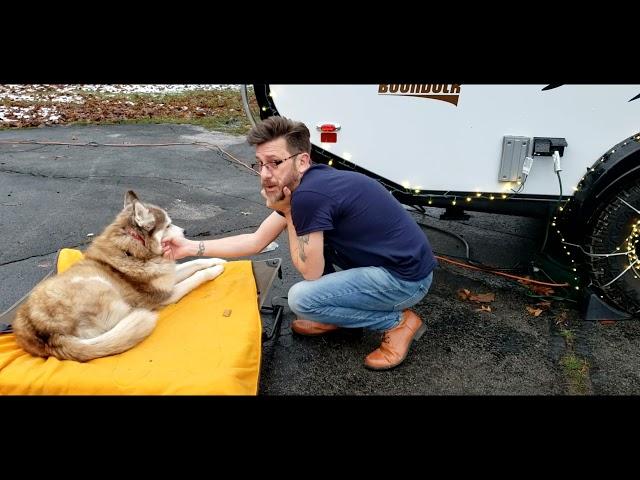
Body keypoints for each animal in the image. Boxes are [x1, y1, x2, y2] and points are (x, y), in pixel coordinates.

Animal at [11, 189, 228, 362]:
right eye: (167, 225)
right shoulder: (167, 294)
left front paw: (217, 260)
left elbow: (194, 263)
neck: (135, 250)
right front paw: (214, 271)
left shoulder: (168, 278)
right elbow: (197, 277)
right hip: (102, 287)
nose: (185, 230)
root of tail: (46, 334)